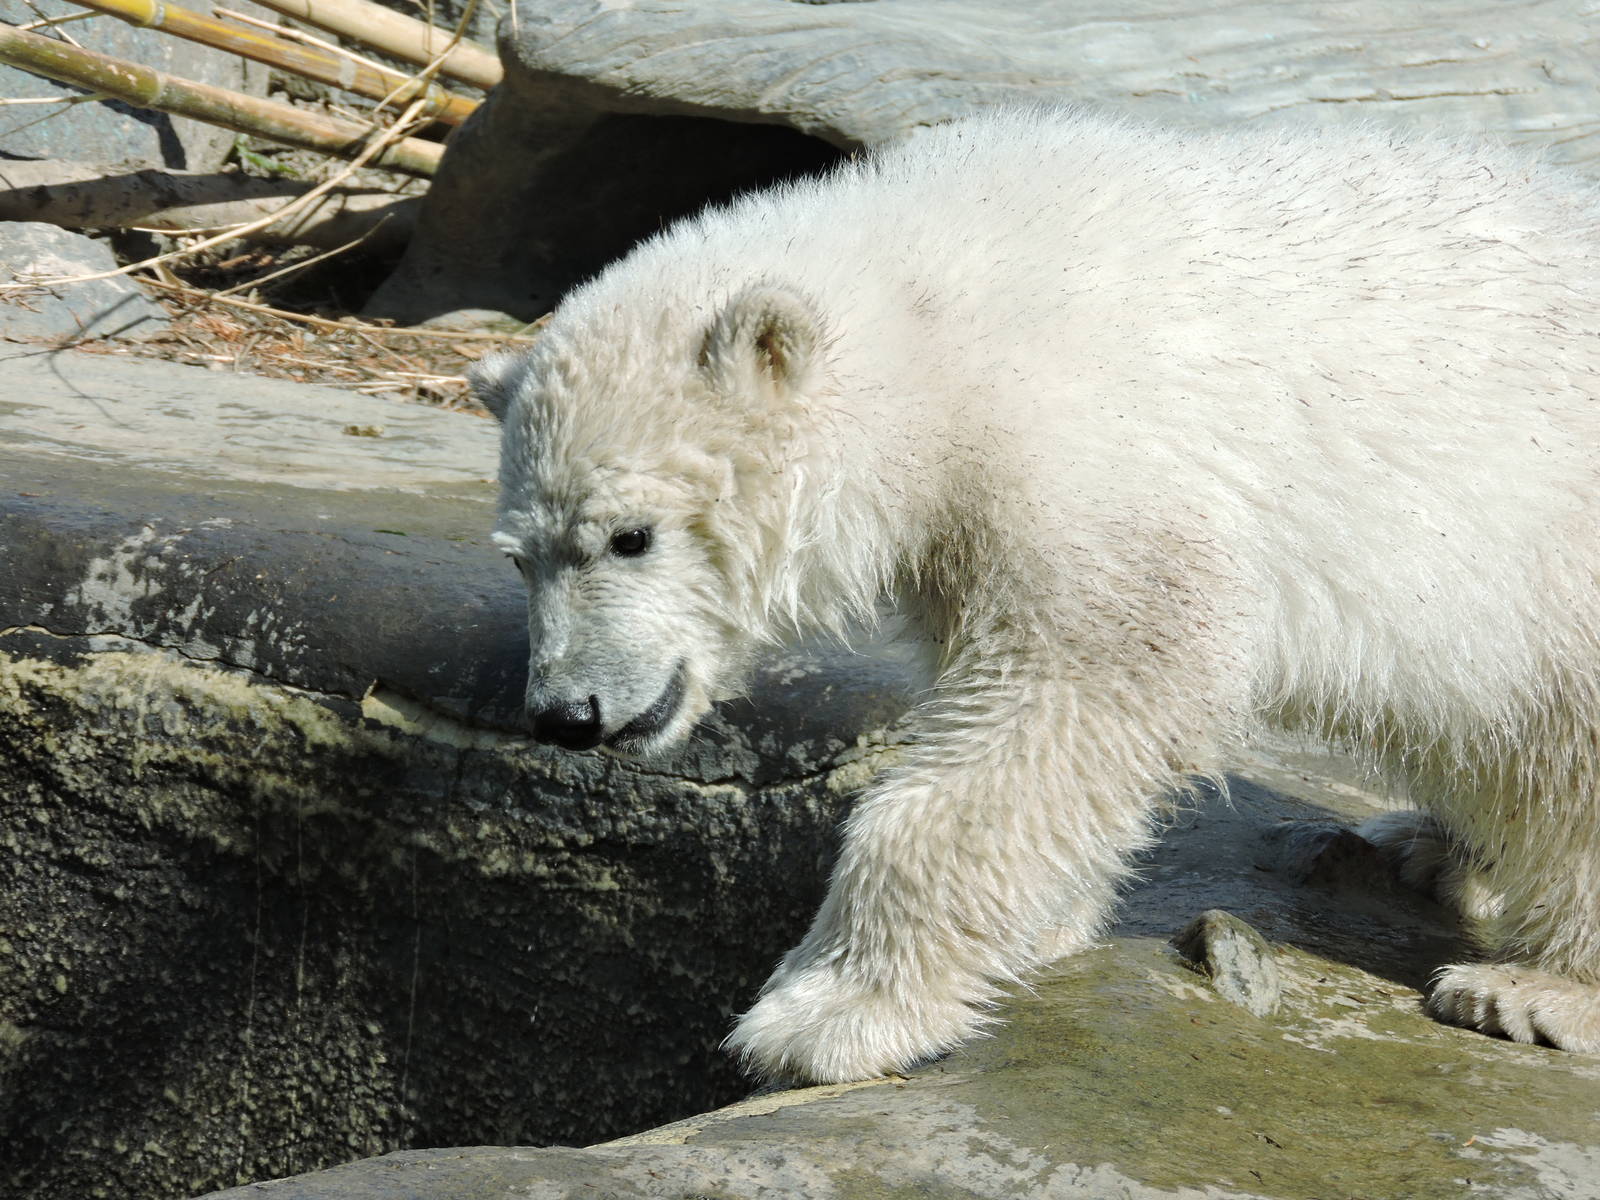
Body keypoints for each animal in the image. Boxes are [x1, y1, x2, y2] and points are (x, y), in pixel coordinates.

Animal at [470, 107, 1600, 1084]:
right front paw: (1042, 921)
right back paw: (1427, 845)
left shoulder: (1090, 457)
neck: (935, 317)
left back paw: (1529, 990)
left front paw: (820, 1017)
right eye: (520, 556)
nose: (567, 713)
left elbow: (1069, 696)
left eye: (630, 536)